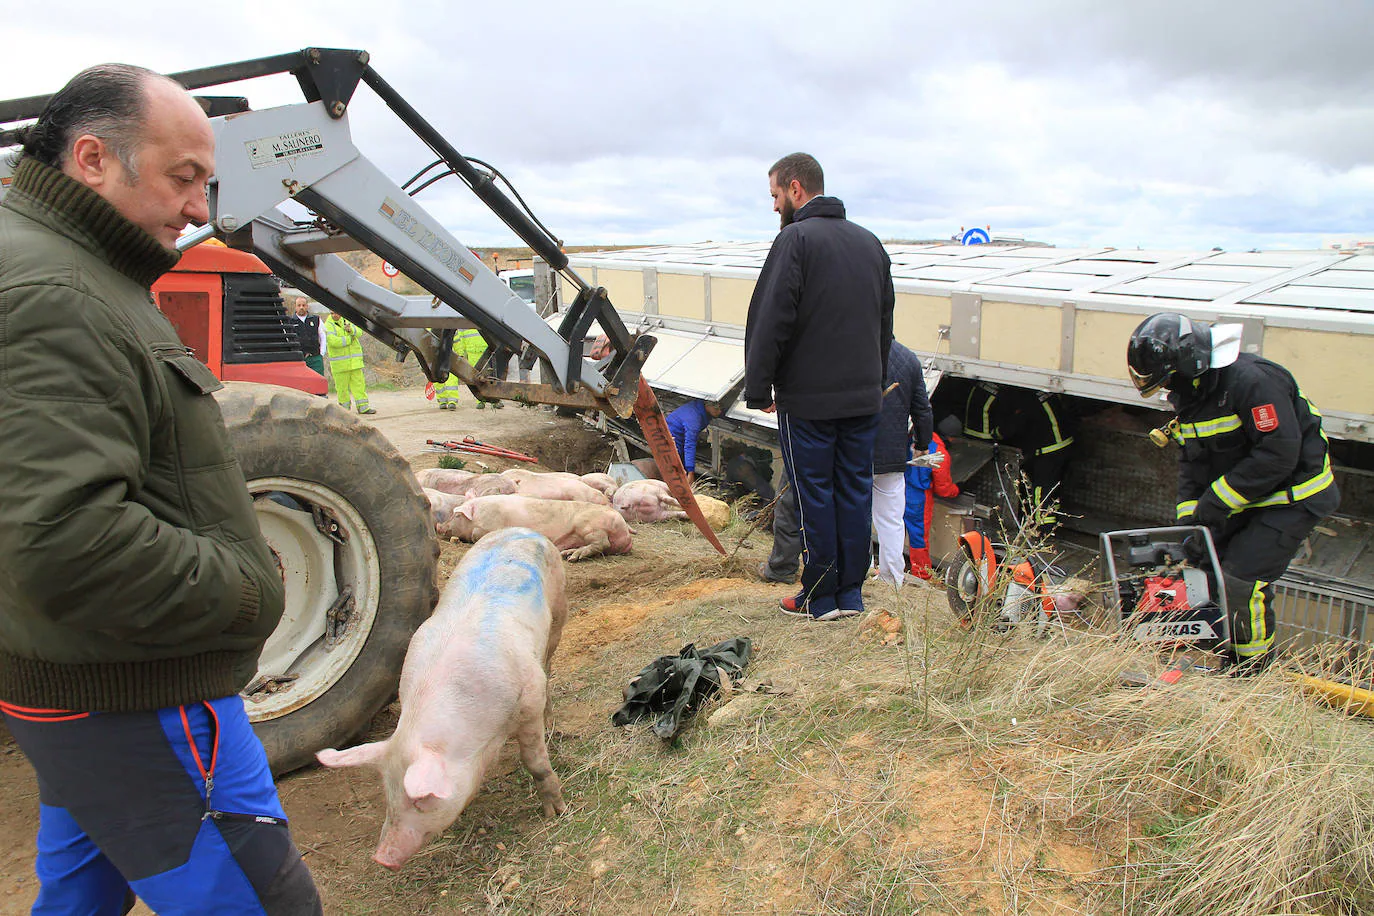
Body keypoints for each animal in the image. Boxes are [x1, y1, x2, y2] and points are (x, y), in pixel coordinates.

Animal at [314, 527, 566, 873]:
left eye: (419, 800)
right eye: (388, 792)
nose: (382, 858)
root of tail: (519, 529)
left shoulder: (528, 698)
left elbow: (536, 762)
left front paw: (556, 812)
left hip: (559, 609)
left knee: (549, 661)